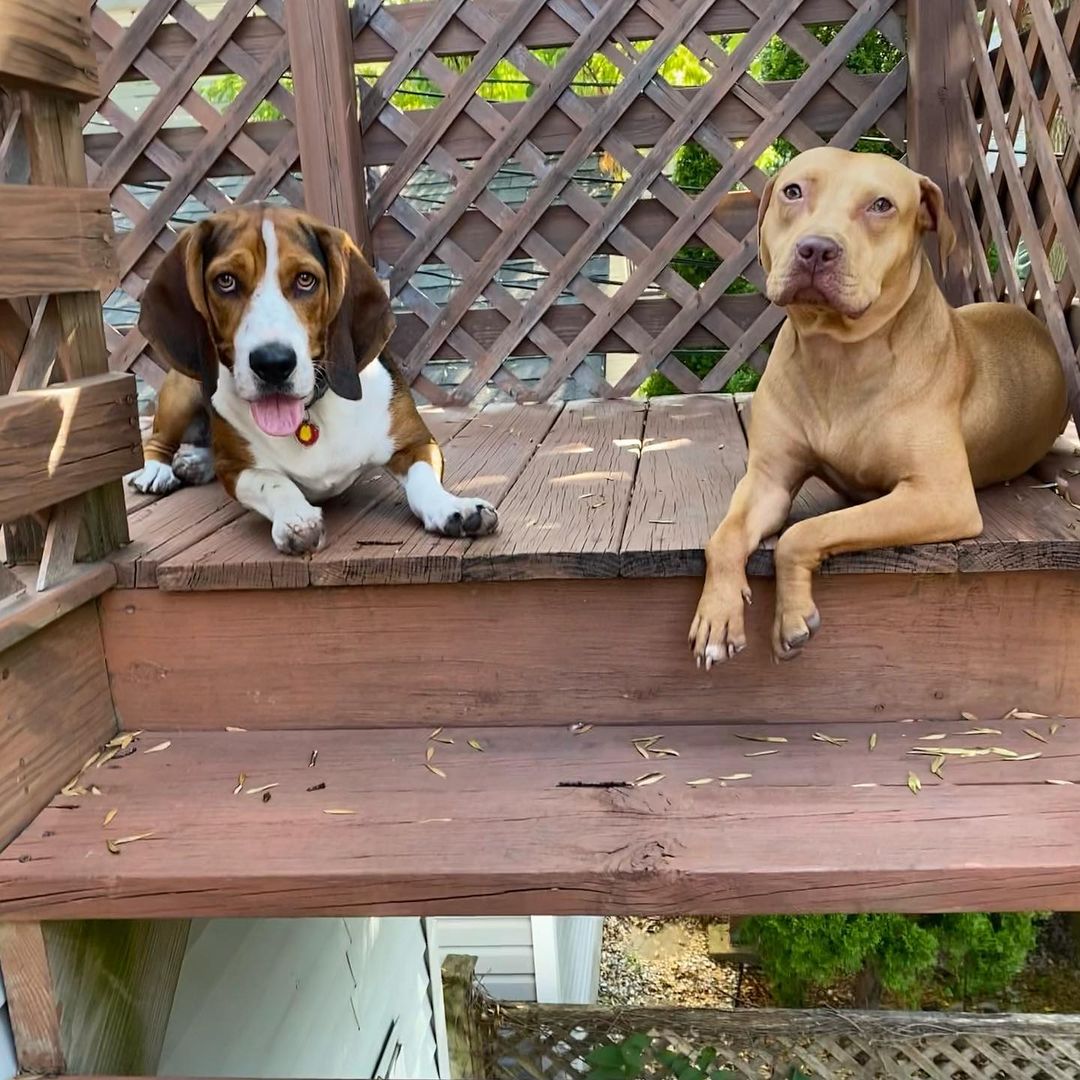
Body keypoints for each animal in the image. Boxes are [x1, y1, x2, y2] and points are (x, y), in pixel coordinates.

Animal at [129, 205, 496, 552]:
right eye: (226, 281)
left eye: (306, 280)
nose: (273, 363)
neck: (310, 414)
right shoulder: (235, 469)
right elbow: (272, 480)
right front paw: (296, 518)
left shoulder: (416, 442)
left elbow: (424, 481)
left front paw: (453, 507)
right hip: (182, 391)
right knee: (159, 441)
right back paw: (159, 470)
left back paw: (194, 463)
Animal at [686, 143, 1067, 665]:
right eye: (793, 191)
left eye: (881, 205)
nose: (816, 248)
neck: (837, 355)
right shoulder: (768, 480)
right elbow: (722, 538)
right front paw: (717, 616)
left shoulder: (938, 497)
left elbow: (803, 532)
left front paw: (792, 614)